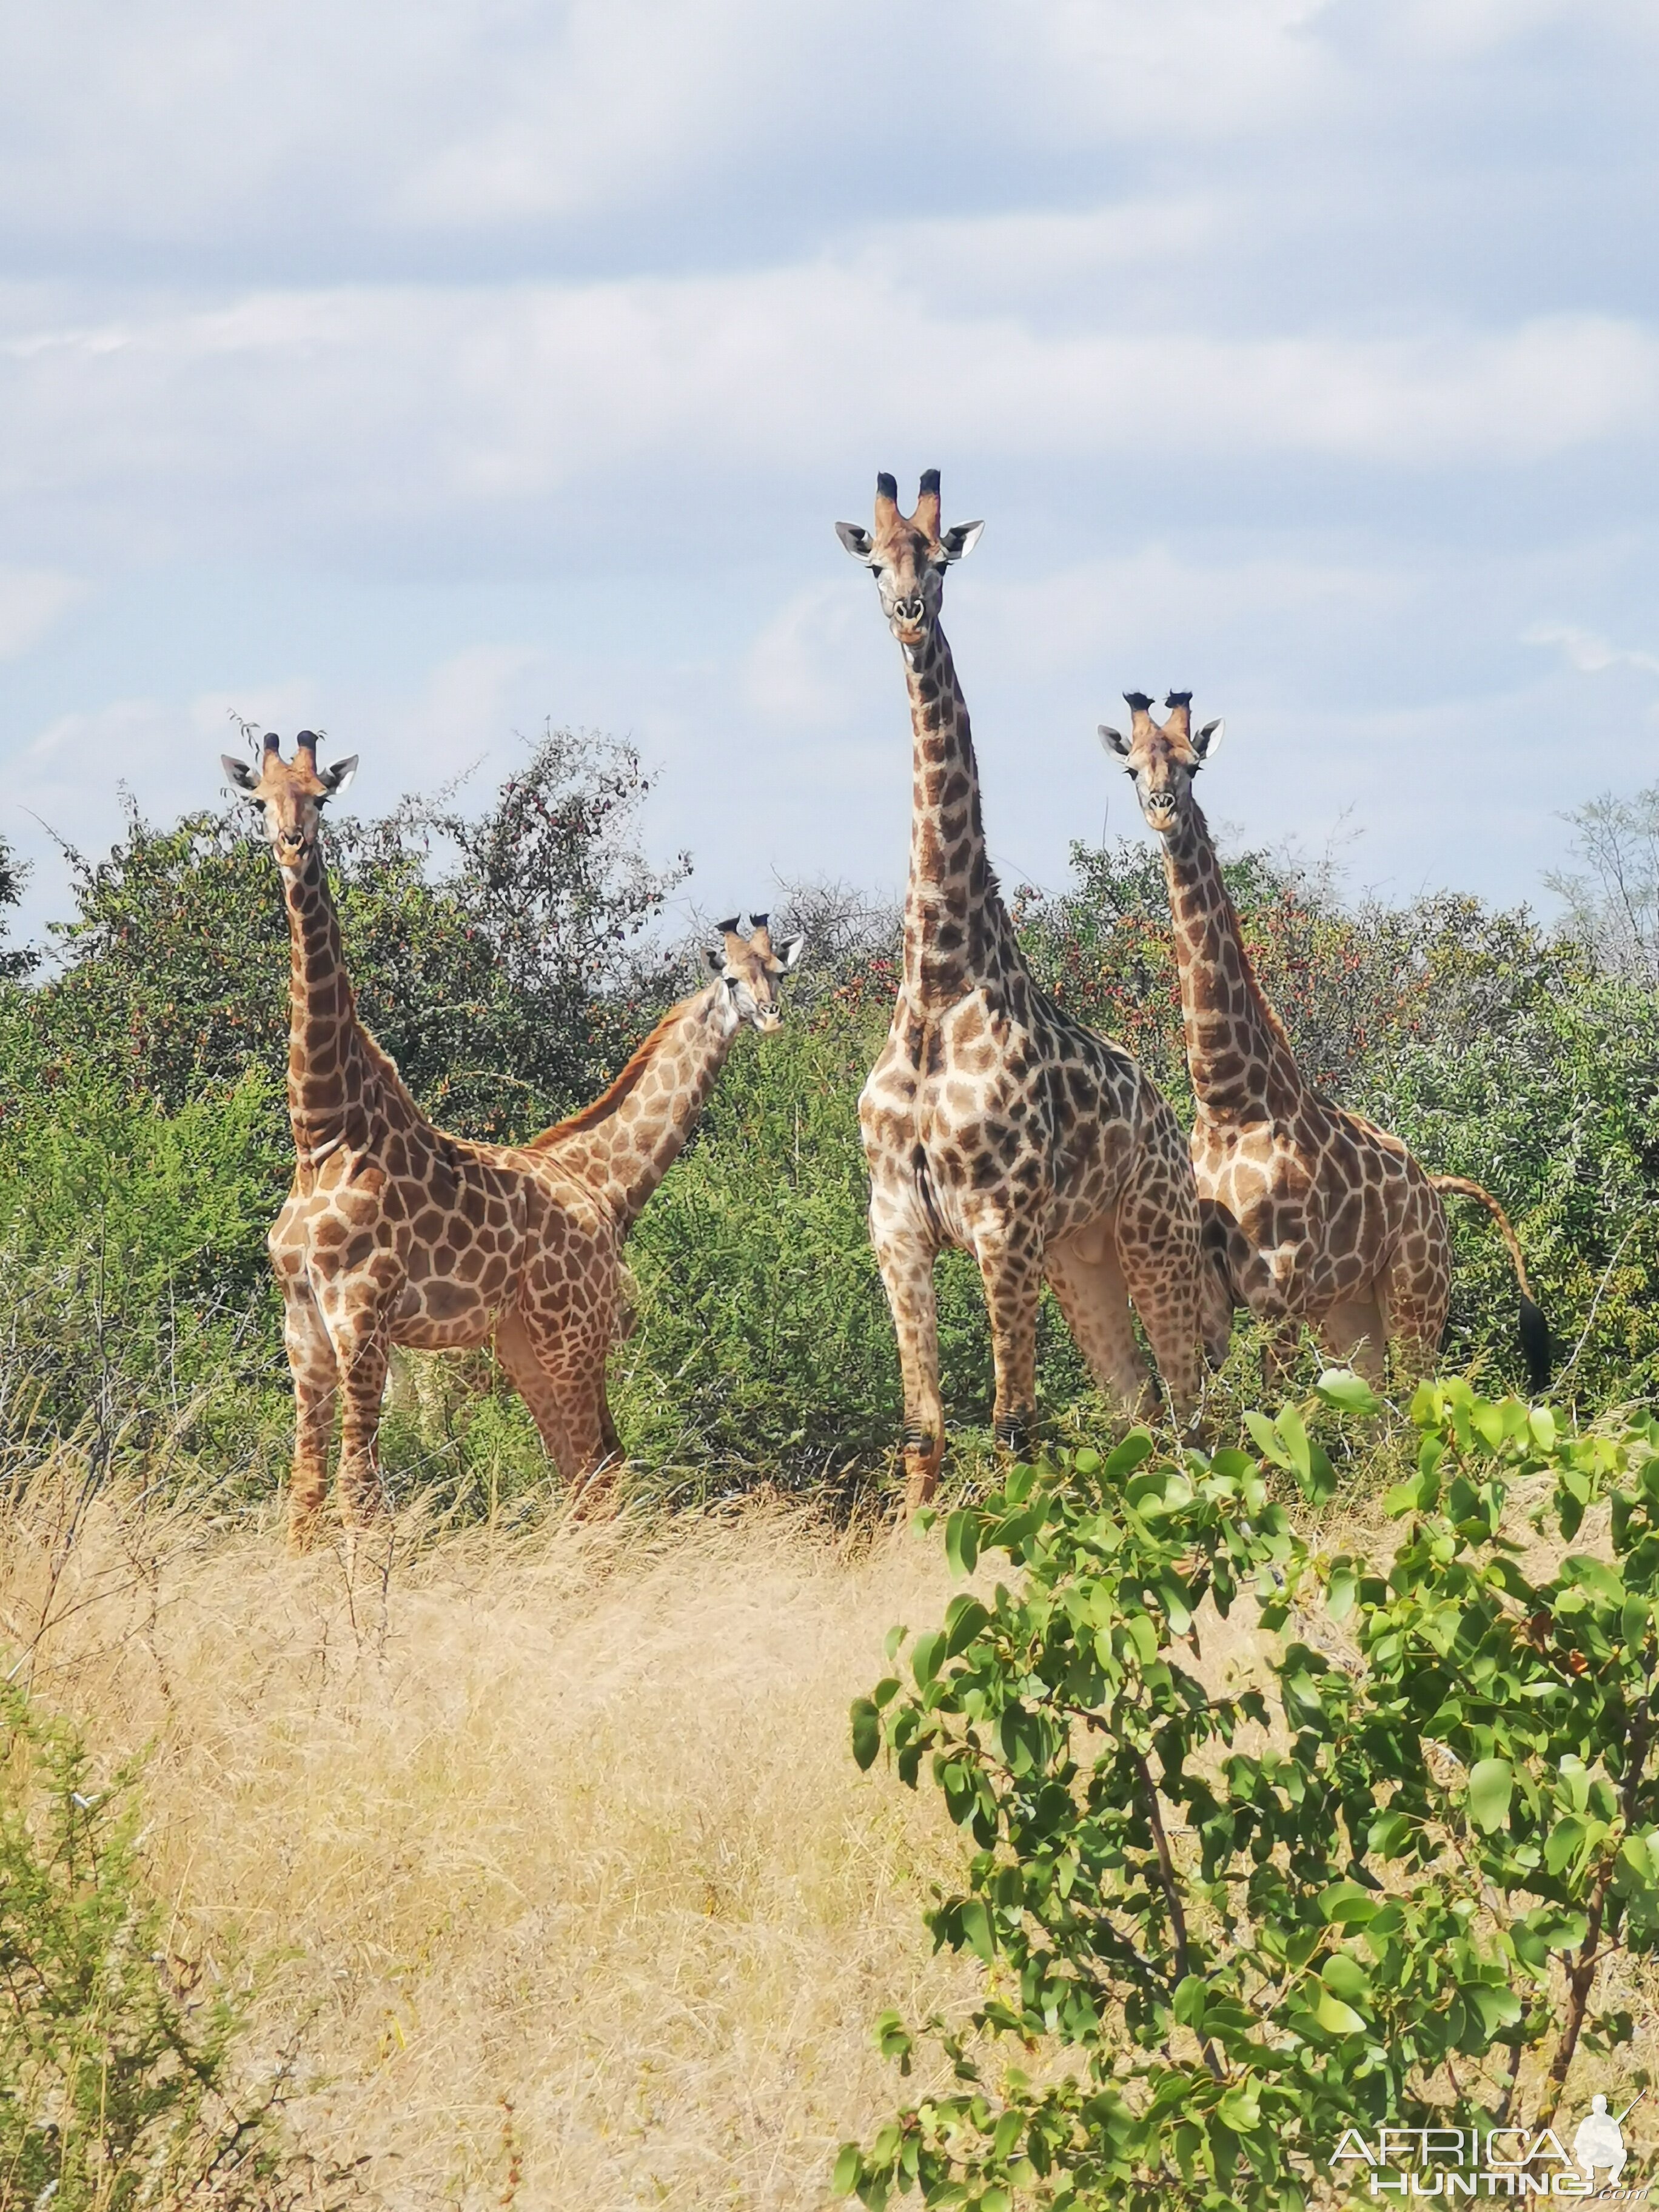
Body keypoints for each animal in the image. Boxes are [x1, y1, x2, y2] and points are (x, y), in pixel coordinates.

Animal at [224, 734, 800, 1548]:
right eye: (258, 799)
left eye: (322, 796)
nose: (292, 842)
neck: (324, 1131)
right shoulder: (303, 1321)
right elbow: (307, 1495)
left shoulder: (363, 1315)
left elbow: (359, 1494)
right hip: (529, 1345)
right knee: (587, 1468)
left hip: (567, 1337)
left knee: (596, 1465)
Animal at [836, 473, 1212, 1513]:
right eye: (875, 565)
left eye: (942, 559)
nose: (908, 612)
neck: (937, 981)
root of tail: (1168, 1118)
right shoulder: (896, 1223)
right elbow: (923, 1431)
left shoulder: (1000, 1220)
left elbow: (1013, 1426)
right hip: (1079, 1257)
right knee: (1138, 1407)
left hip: (1151, 1236)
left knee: (1192, 1407)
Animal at [1106, 690, 1557, 1380]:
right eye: (1132, 768)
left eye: (1193, 766)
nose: (1162, 808)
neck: (1227, 1102)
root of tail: (1434, 1189)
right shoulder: (1214, 1290)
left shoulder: (1278, 1289)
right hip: (1350, 1314)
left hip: (1416, 1296)